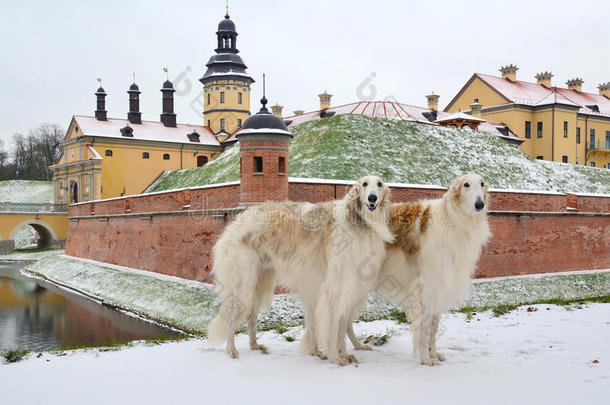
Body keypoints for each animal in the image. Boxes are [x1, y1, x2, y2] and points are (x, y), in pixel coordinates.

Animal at [207, 175, 392, 362]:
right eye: (364, 184)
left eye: (379, 184)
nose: (372, 199)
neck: (357, 222)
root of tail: (233, 225)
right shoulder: (334, 288)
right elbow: (333, 328)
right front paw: (336, 358)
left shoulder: (347, 286)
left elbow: (339, 327)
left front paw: (341, 354)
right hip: (245, 283)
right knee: (231, 317)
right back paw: (231, 349)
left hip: (260, 283)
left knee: (251, 316)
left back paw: (255, 345)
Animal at [346, 172, 490, 364]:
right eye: (466, 184)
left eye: (482, 184)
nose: (479, 204)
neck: (451, 219)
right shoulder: (426, 288)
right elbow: (425, 329)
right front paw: (426, 359)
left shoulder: (439, 288)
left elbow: (433, 329)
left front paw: (434, 354)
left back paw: (357, 346)